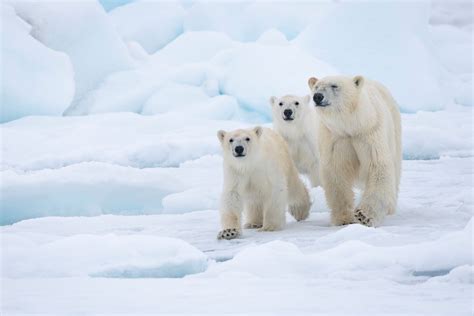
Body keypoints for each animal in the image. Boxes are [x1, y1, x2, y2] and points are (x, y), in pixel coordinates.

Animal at [308, 75, 400, 226]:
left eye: (334, 86)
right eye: (316, 87)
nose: (318, 96)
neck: (352, 126)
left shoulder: (369, 133)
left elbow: (378, 167)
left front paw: (364, 216)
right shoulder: (335, 138)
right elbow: (337, 174)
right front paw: (343, 218)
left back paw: (390, 207)